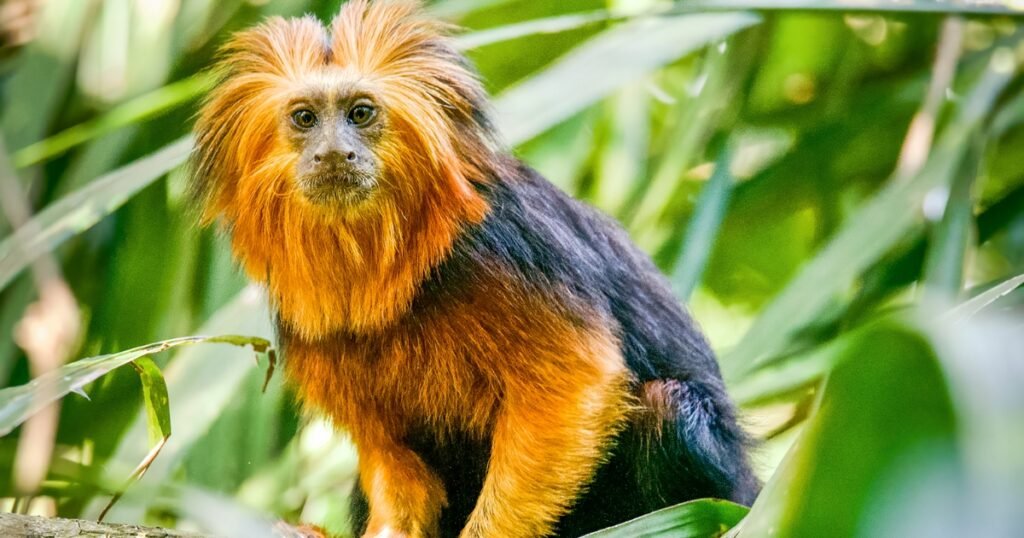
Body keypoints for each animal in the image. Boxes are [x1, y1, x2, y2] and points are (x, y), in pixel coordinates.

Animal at [188, 1, 759, 537]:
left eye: (360, 113)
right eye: (305, 119)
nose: (333, 153)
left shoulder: (505, 251)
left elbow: (577, 384)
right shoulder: (311, 327)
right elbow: (388, 452)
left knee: (671, 408)